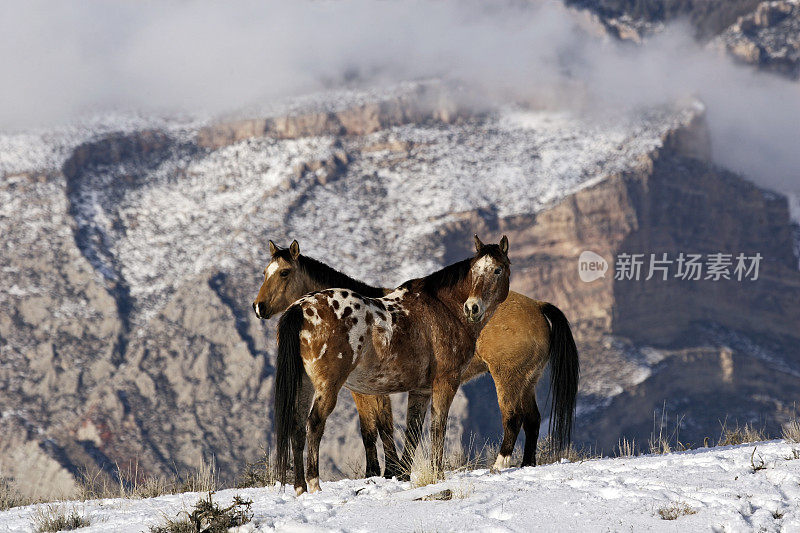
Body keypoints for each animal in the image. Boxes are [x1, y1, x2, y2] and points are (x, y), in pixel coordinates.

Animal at [270, 237, 506, 494]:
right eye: (474, 271)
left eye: (497, 270)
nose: (472, 308)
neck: (443, 308)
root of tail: (300, 308)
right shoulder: (446, 381)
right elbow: (437, 427)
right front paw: (437, 474)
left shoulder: (421, 390)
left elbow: (412, 430)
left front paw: (402, 474)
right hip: (327, 386)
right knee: (313, 424)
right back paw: (313, 484)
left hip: (305, 383)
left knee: (297, 425)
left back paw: (300, 487)